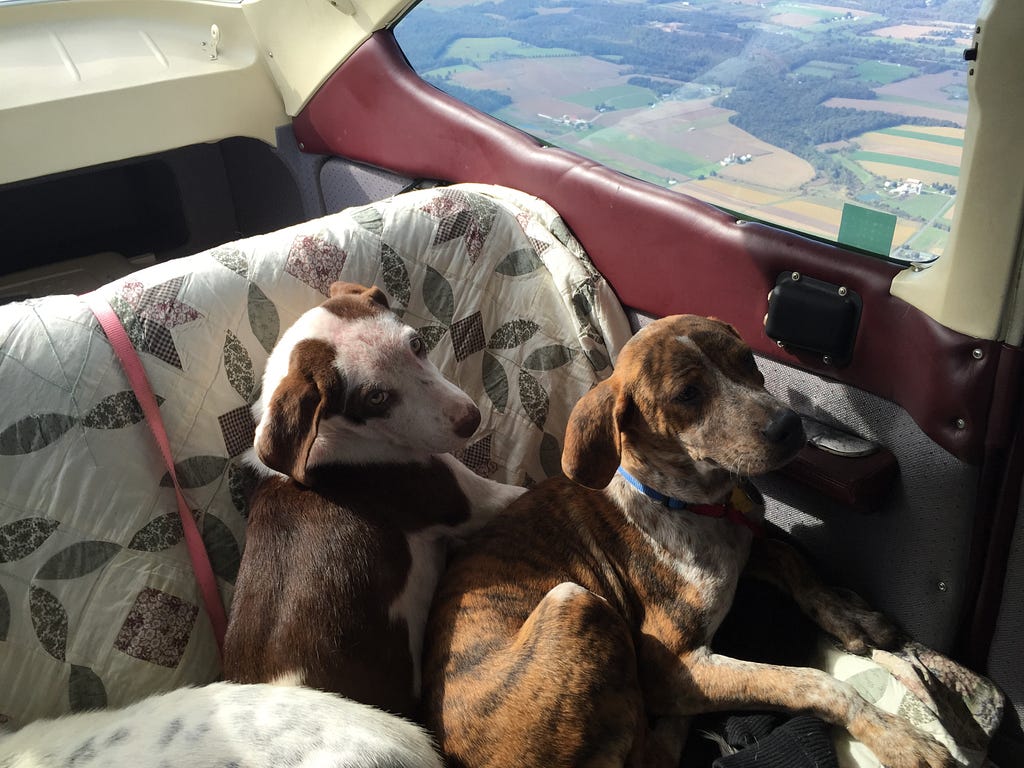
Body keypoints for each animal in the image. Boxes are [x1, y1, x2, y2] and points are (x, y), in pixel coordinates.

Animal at [421, 313, 950, 768]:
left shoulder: (748, 545)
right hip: (577, 599)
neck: (696, 504)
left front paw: (852, 617)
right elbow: (808, 682)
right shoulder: (676, 666)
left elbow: (794, 561)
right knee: (652, 755)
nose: (789, 425)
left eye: (748, 360)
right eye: (688, 394)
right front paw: (896, 736)